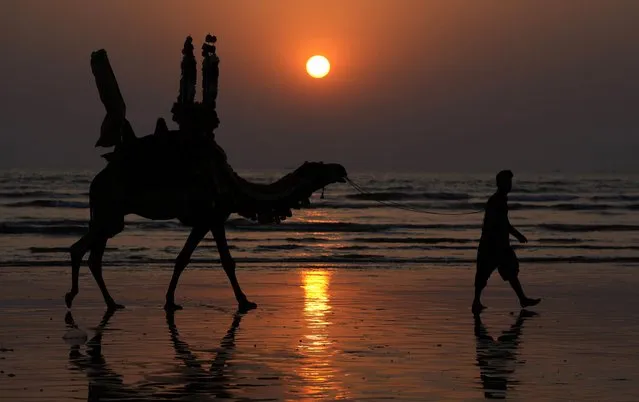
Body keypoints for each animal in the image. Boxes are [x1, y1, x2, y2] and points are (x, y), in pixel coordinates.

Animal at [62, 130, 348, 312]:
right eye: (320, 167)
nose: (342, 168)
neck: (235, 187)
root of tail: (95, 182)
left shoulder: (206, 220)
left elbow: (183, 259)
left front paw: (170, 301)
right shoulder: (213, 217)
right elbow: (224, 261)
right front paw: (245, 302)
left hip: (109, 215)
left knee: (94, 256)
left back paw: (111, 303)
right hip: (110, 210)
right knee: (81, 249)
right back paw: (73, 296)